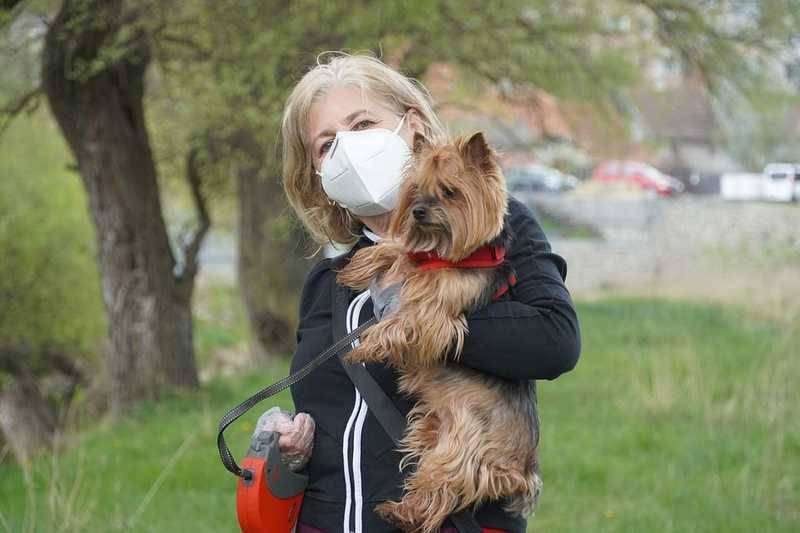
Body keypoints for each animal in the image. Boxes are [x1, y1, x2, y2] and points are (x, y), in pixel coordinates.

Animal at [334, 132, 540, 532]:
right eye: (415, 190)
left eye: (448, 191)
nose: (418, 211)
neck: (444, 252)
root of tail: (522, 470)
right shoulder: (414, 260)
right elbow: (398, 248)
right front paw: (360, 264)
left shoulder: (436, 315)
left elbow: (400, 321)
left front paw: (364, 347)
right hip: (428, 427)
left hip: (464, 446)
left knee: (443, 487)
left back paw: (404, 513)